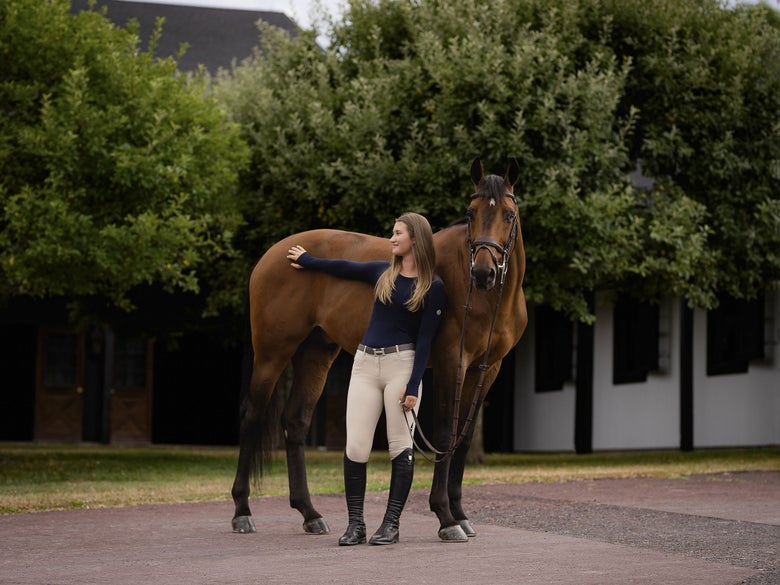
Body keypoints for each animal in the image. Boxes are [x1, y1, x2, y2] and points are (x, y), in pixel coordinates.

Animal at [231, 157, 528, 541]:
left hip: (317, 352)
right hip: (272, 352)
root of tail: (271, 256)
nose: (484, 273)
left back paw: (310, 513)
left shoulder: (487, 368)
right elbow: (445, 433)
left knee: (295, 421)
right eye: (470, 212)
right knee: (252, 416)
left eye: (508, 214)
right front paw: (446, 517)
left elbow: (461, 439)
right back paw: (242, 512)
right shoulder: (452, 362)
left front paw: (461, 515)